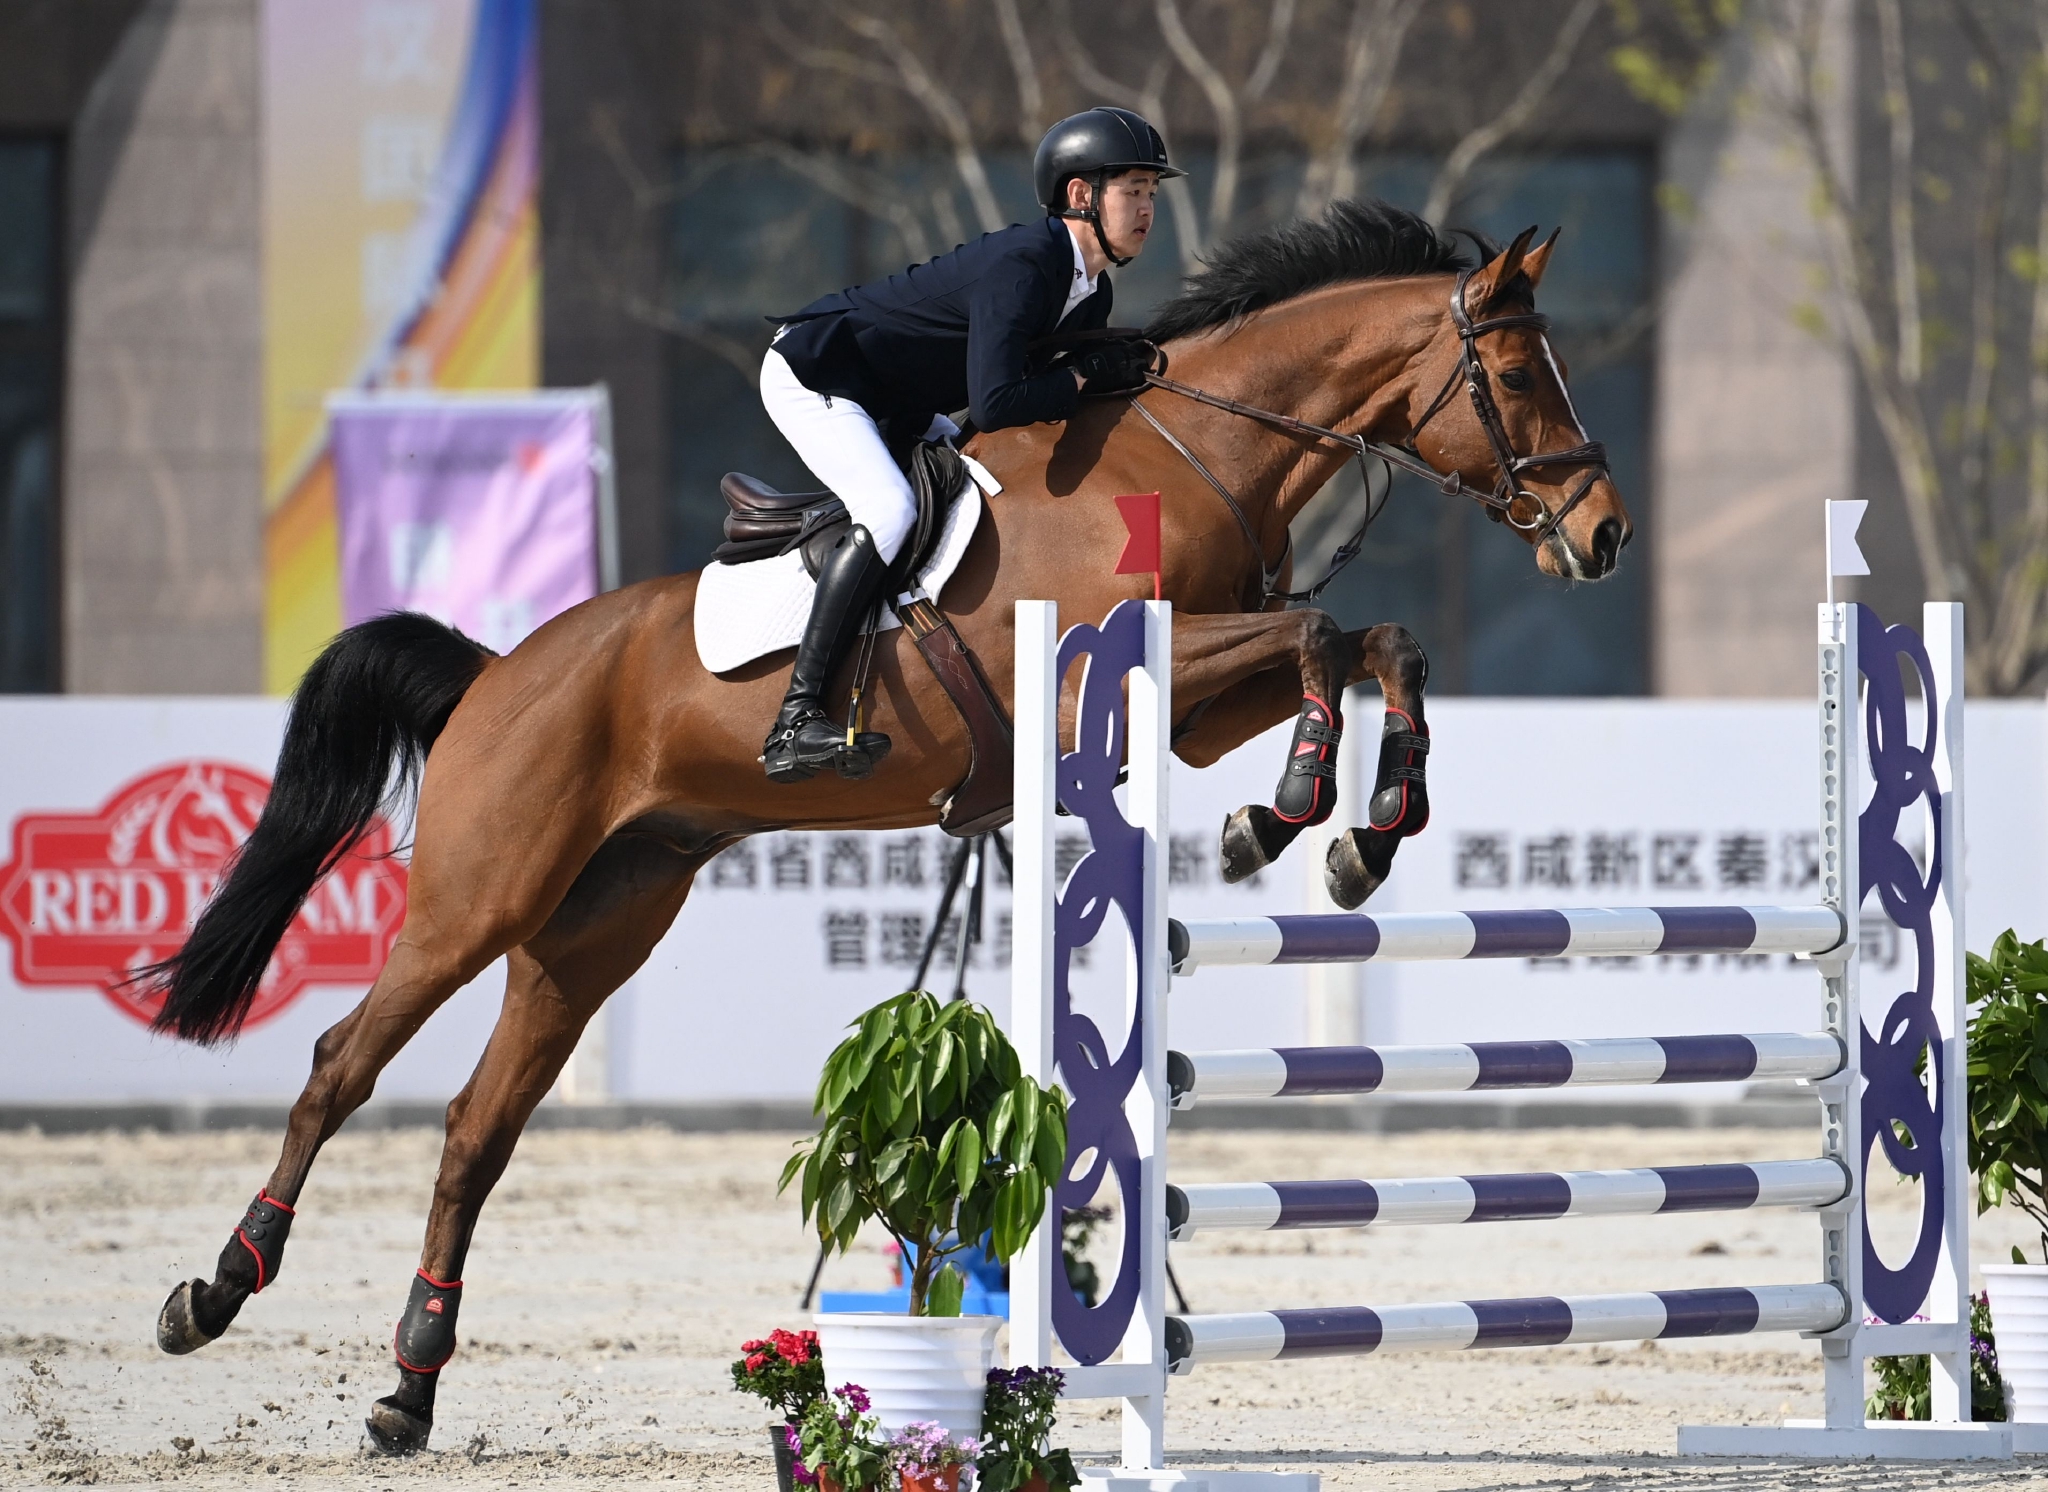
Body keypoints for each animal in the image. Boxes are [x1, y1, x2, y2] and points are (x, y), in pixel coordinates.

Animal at [143, 201, 1630, 1453]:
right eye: (1517, 378)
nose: (1604, 535)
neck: (1197, 447)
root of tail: (497, 670)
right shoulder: (1104, 681)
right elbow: (1323, 637)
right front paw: (1296, 815)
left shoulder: (1196, 702)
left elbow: (1376, 640)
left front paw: (1358, 827)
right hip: (482, 895)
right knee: (339, 1067)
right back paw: (212, 1293)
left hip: (599, 922)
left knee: (474, 1131)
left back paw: (406, 1390)